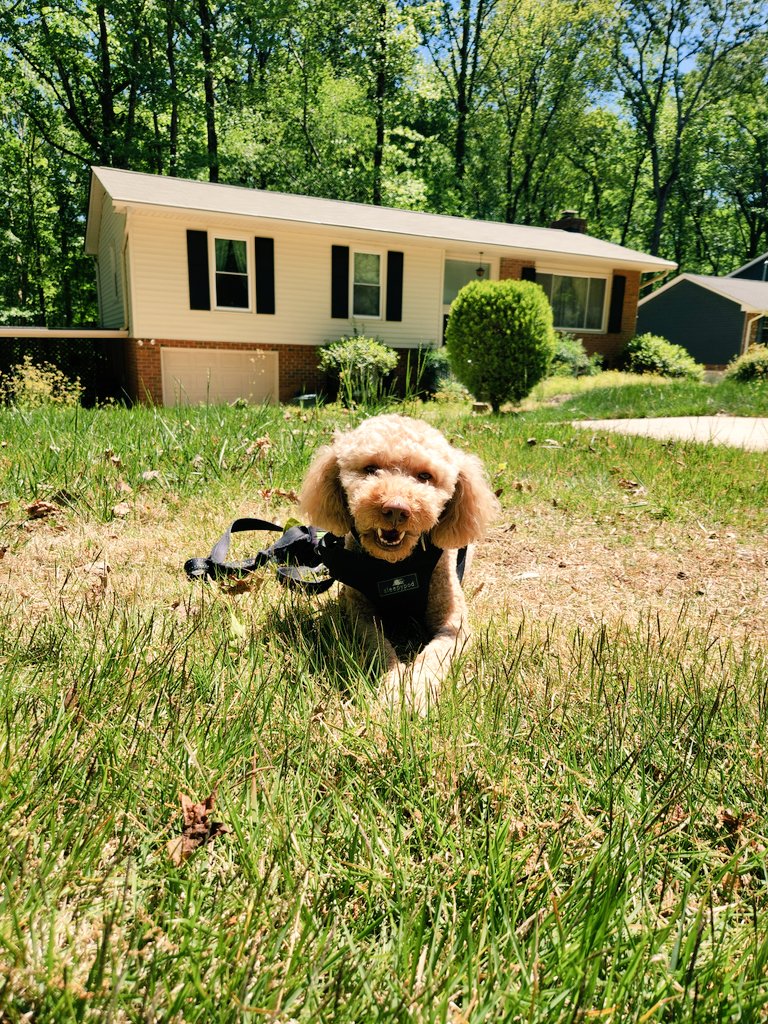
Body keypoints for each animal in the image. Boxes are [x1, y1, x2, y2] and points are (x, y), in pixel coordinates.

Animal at [296, 411, 501, 708]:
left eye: (425, 476)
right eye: (370, 468)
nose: (395, 509)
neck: (394, 566)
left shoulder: (454, 625)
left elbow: (432, 656)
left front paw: (415, 693)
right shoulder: (360, 617)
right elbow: (380, 649)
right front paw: (394, 686)